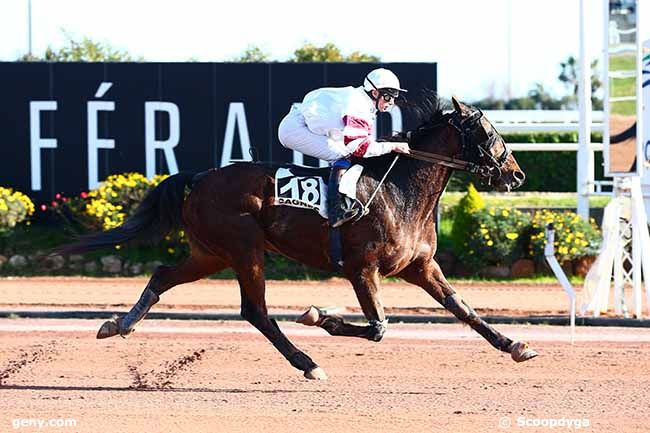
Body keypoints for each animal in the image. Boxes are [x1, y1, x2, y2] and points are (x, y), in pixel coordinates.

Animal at [58, 93, 536, 378]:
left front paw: (515, 345)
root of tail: (201, 177)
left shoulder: (420, 266)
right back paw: (307, 363)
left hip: (210, 253)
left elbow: (463, 309)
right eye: (489, 132)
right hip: (244, 249)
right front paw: (319, 316)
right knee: (255, 311)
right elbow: (378, 327)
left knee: (161, 275)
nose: (516, 174)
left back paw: (118, 324)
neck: (400, 192)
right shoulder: (362, 269)